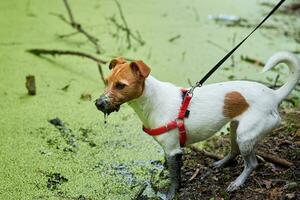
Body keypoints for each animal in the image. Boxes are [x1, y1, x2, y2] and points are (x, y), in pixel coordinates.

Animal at [96, 51, 300, 198]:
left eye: (121, 85)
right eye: (106, 81)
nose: (98, 103)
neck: (152, 100)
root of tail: (274, 95)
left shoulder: (173, 151)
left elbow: (174, 178)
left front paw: (170, 194)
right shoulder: (171, 151)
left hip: (246, 135)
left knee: (252, 163)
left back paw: (237, 182)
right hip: (235, 128)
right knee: (234, 151)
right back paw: (220, 163)